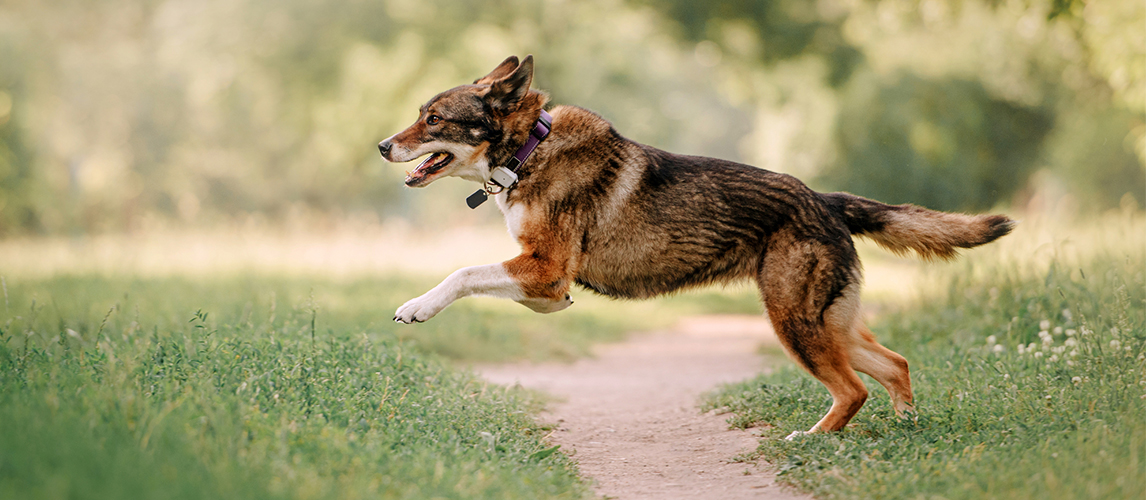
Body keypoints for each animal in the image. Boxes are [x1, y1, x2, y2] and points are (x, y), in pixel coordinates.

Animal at [375, 55, 1013, 438]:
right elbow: (511, 288)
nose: (382, 146)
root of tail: (827, 201)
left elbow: (463, 273)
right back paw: (906, 431)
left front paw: (416, 307)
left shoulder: (546, 266)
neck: (528, 150)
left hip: (794, 321)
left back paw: (813, 439)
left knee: (854, 389)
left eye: (434, 119)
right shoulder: (544, 276)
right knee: (894, 365)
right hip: (829, 323)